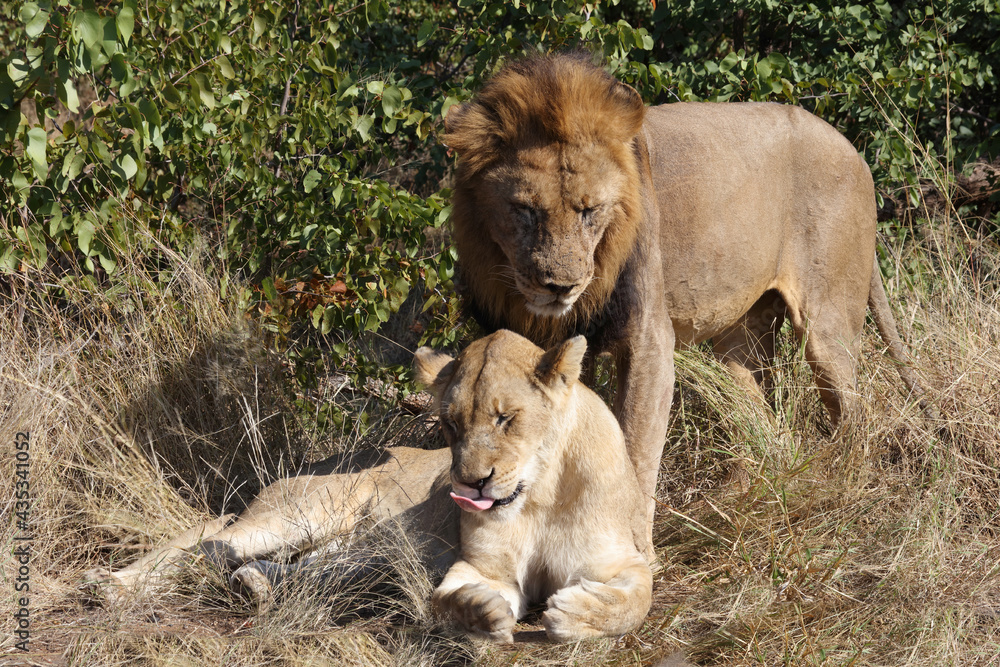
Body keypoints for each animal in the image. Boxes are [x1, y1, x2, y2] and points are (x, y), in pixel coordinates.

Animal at [84, 330, 652, 643]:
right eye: (450, 425)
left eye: (505, 418)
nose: (470, 484)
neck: (539, 495)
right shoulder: (485, 567)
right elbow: (453, 596)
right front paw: (476, 611)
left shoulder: (623, 560)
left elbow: (636, 601)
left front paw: (579, 612)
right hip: (304, 515)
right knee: (207, 545)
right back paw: (112, 587)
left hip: (358, 552)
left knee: (285, 568)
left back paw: (254, 588)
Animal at [444, 53, 931, 557]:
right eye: (524, 210)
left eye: (588, 210)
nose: (561, 286)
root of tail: (854, 151)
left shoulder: (648, 340)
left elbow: (634, 450)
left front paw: (632, 551)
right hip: (742, 341)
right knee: (763, 420)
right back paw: (734, 504)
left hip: (826, 326)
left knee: (855, 416)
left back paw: (842, 491)